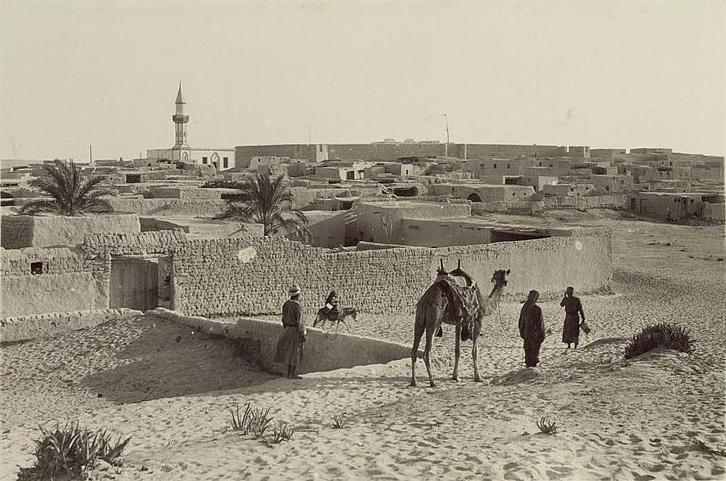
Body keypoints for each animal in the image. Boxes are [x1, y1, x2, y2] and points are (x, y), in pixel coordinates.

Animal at [410, 260, 512, 388]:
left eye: (502, 279)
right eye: (505, 281)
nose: (505, 283)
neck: (484, 302)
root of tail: (426, 300)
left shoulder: (459, 322)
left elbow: (457, 350)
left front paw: (455, 377)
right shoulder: (478, 320)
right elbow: (475, 350)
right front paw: (478, 377)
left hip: (419, 319)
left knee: (414, 350)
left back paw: (414, 381)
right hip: (434, 320)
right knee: (426, 353)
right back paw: (432, 382)